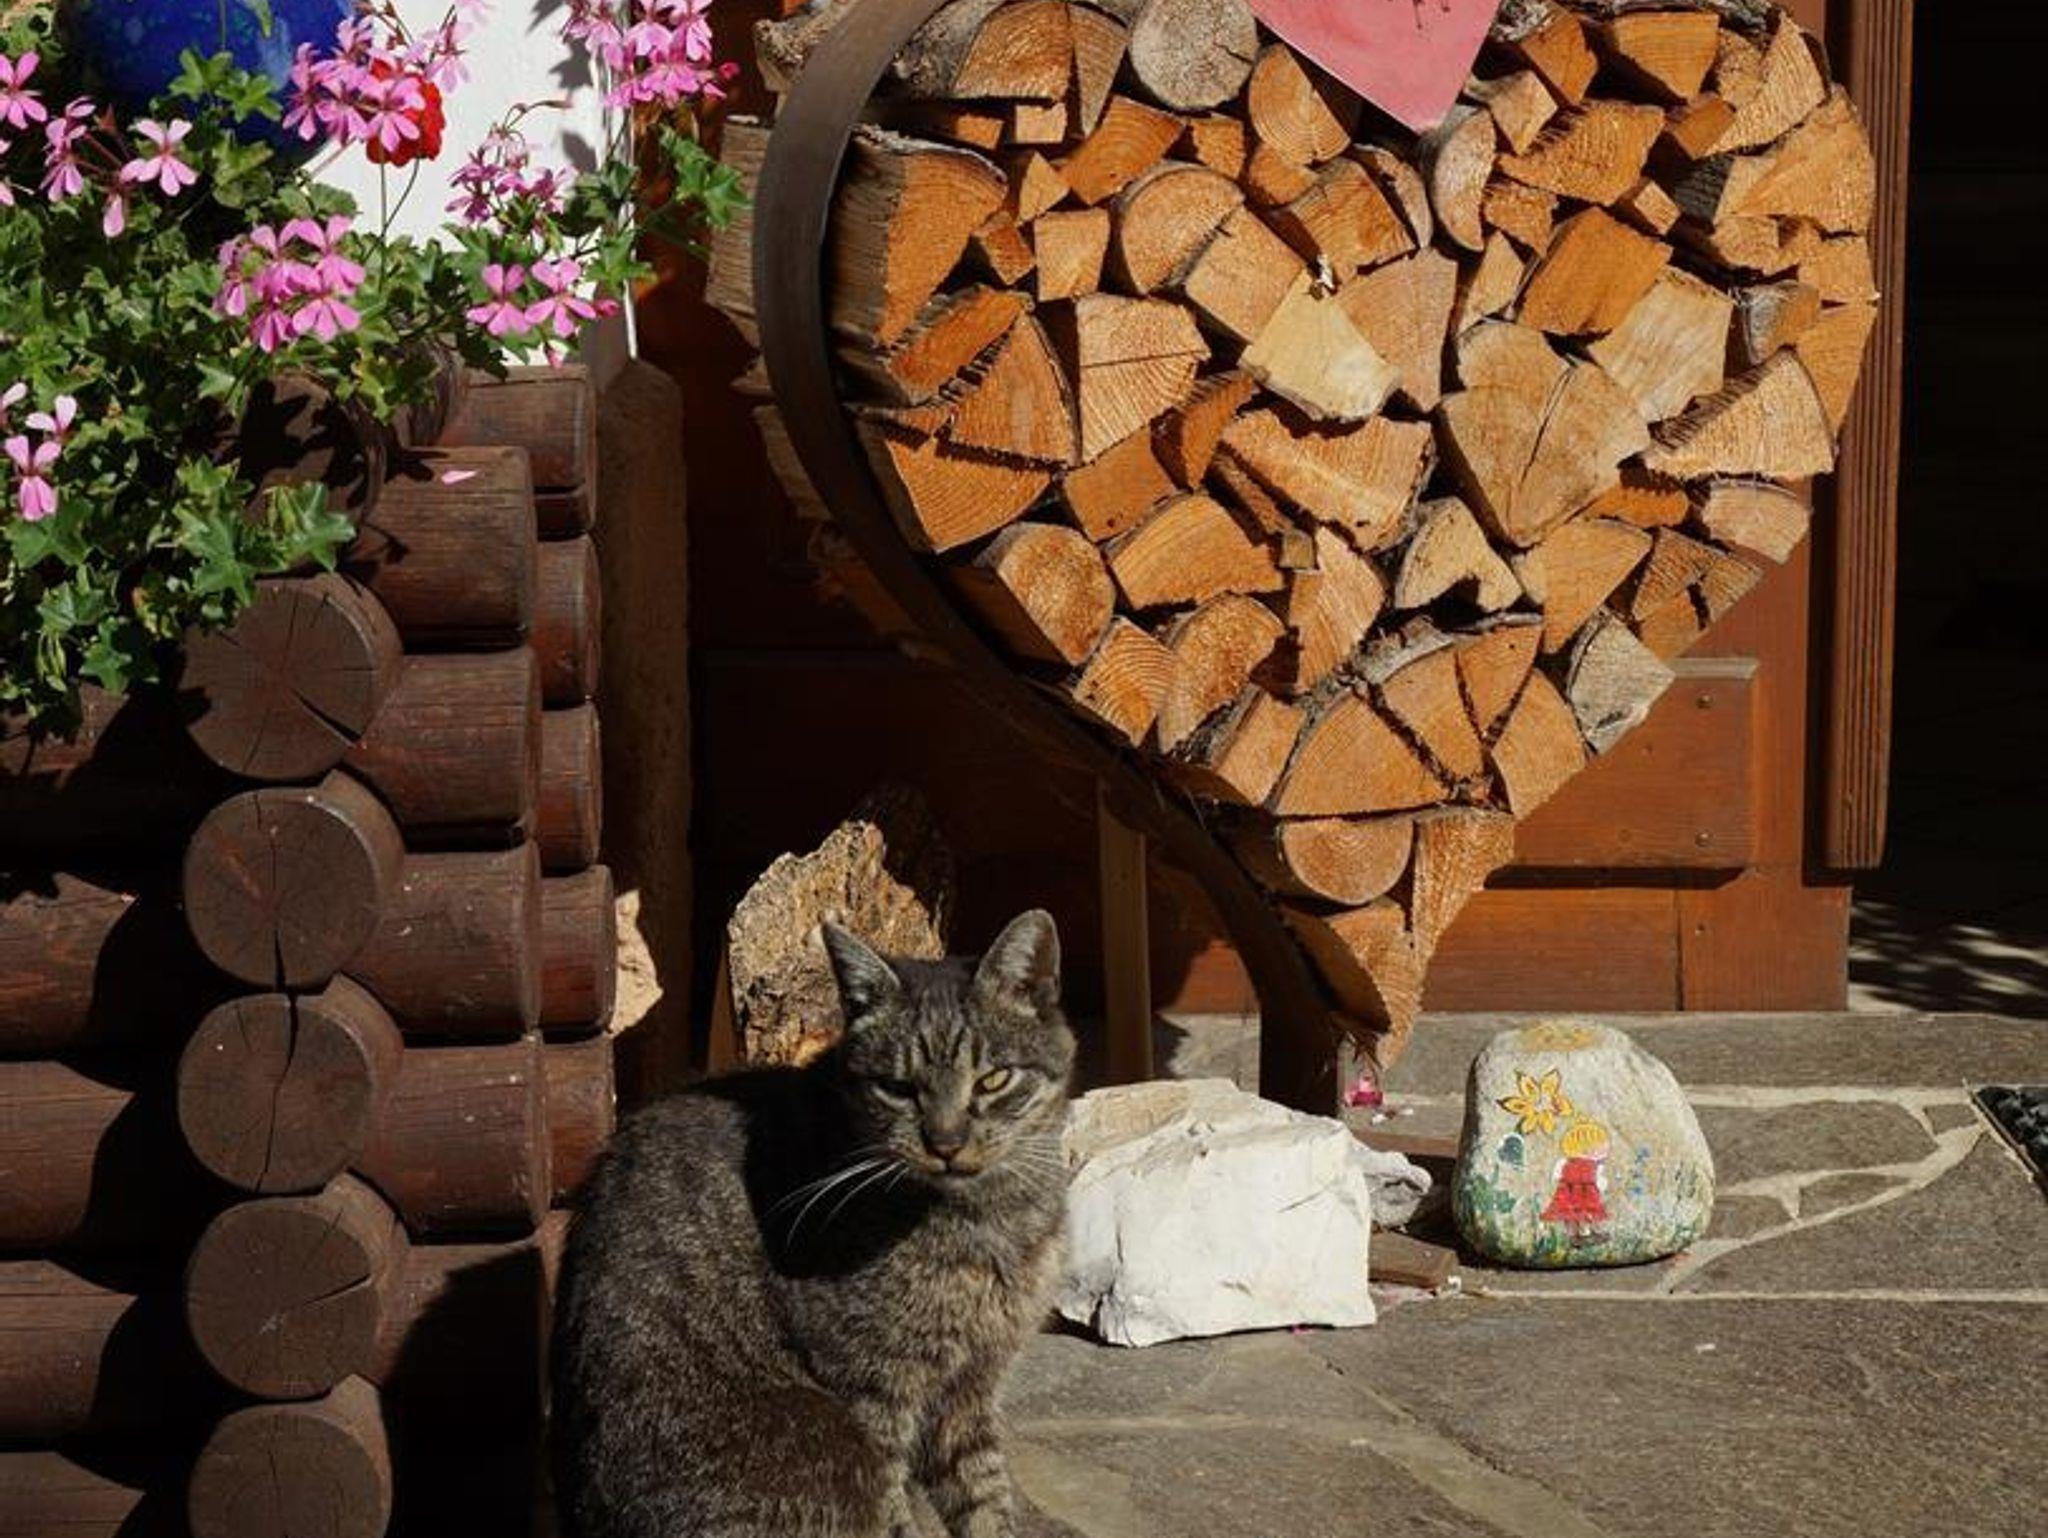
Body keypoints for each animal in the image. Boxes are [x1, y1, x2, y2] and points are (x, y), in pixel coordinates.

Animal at [552, 909, 1076, 1538]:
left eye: (993, 1080)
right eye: (898, 1088)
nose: (946, 1143)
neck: (992, 1216)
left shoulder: (969, 1394)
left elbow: (987, 1503)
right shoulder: (872, 1397)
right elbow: (899, 1518)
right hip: (829, 1444)